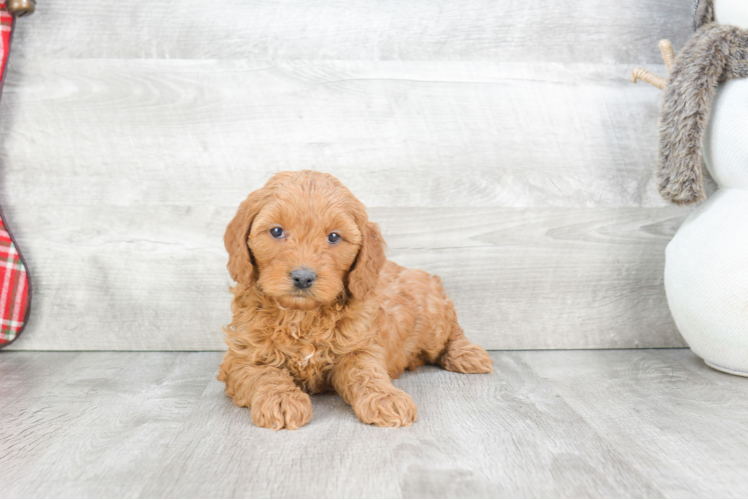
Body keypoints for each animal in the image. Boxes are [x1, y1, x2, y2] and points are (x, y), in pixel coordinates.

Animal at [219, 170, 494, 428]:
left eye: (333, 237)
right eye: (276, 231)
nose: (303, 277)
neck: (302, 315)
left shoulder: (359, 346)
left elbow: (366, 372)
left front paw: (385, 398)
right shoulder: (243, 356)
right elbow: (264, 374)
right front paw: (281, 399)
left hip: (434, 317)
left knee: (452, 332)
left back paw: (467, 354)